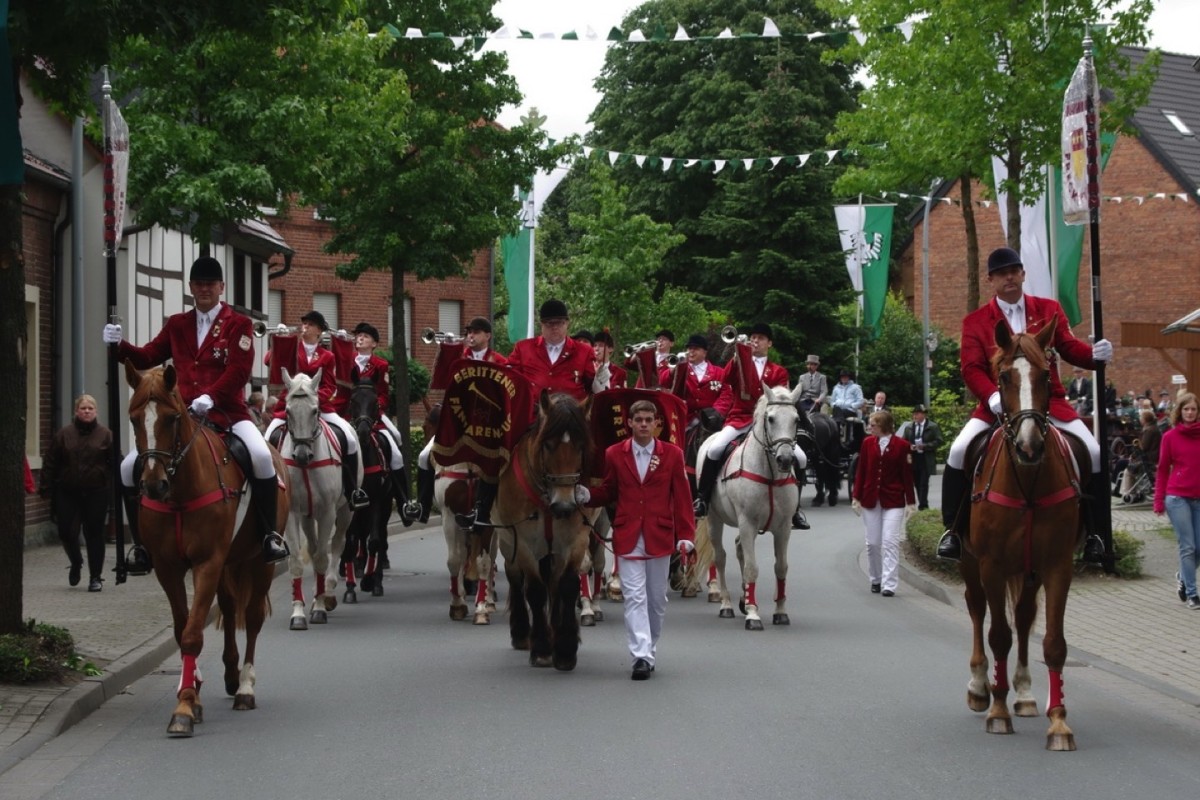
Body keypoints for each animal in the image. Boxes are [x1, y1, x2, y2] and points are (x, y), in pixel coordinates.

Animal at [124, 362, 285, 738]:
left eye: (171, 418)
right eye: (134, 418)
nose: (153, 485)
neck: (180, 492)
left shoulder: (207, 562)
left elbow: (193, 633)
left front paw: (183, 707)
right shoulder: (169, 568)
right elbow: (183, 627)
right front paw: (192, 692)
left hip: (260, 563)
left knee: (252, 617)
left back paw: (245, 688)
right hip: (229, 563)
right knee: (227, 607)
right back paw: (230, 675)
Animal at [280, 371, 355, 633]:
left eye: (315, 410)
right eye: (288, 410)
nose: (301, 456)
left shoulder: (327, 512)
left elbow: (324, 557)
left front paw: (320, 608)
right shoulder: (293, 512)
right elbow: (296, 561)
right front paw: (298, 613)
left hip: (344, 512)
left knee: (337, 544)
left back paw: (327, 594)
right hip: (307, 515)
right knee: (312, 548)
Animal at [494, 393, 592, 671]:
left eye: (581, 445)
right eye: (547, 445)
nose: (565, 505)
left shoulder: (576, 540)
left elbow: (567, 585)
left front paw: (566, 649)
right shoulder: (524, 543)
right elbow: (535, 590)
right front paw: (541, 649)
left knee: (555, 583)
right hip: (508, 543)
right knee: (516, 579)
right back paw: (521, 632)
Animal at [696, 381, 806, 633]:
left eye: (796, 419)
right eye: (770, 419)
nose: (786, 460)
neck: (770, 473)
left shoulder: (783, 528)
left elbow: (781, 567)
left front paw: (780, 612)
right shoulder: (747, 523)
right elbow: (751, 568)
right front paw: (754, 615)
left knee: (738, 550)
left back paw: (743, 600)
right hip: (714, 520)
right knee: (721, 557)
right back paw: (726, 603)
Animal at [964, 321, 1089, 753]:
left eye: (1046, 376)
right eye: (1003, 377)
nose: (1030, 445)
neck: (1029, 481)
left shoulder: (1057, 566)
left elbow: (1053, 643)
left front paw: (1059, 722)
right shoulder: (991, 565)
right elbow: (997, 635)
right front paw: (998, 712)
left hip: (1030, 570)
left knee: (1022, 616)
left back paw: (1024, 694)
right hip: (972, 563)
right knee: (978, 610)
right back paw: (981, 687)